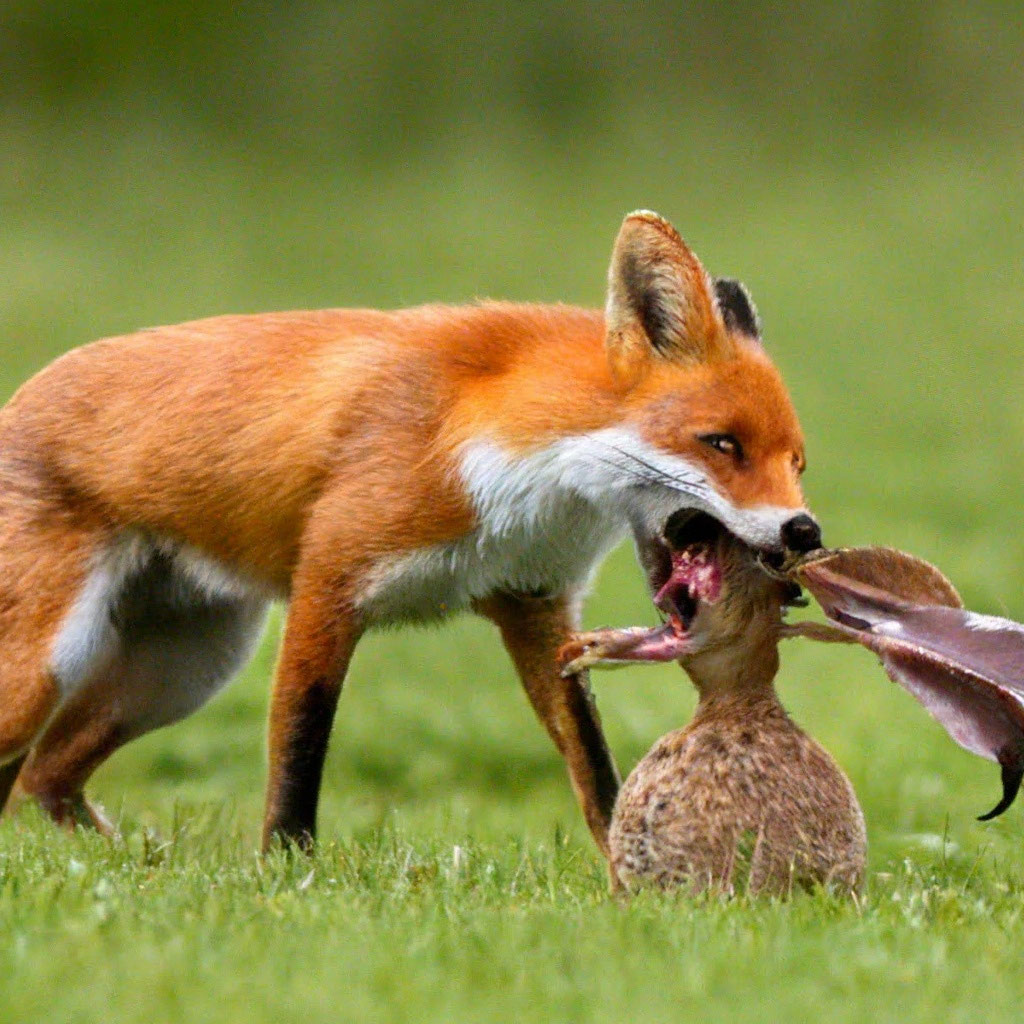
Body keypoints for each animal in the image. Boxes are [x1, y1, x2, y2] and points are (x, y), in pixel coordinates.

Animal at [0, 210, 819, 857]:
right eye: (722, 444)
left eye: (796, 462)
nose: (805, 530)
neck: (509, 470)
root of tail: (21, 396)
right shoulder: (329, 585)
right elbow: (299, 754)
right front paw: (288, 874)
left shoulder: (536, 605)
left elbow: (594, 767)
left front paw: (627, 868)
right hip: (50, 667)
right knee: (29, 765)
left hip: (184, 670)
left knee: (45, 774)